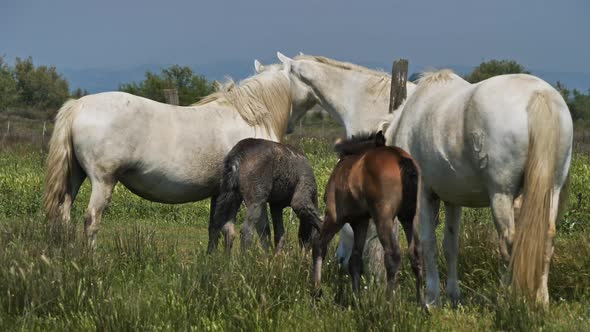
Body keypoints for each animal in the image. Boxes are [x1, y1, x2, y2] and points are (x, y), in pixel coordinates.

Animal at [45, 64, 320, 246]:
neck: (250, 117)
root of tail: (78, 105)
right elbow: (254, 232)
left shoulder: (219, 193)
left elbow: (217, 228)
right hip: (103, 181)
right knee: (91, 220)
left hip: (75, 177)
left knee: (64, 213)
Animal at [314, 130, 426, 306]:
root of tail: (401, 159)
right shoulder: (361, 221)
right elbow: (355, 260)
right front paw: (356, 299)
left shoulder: (334, 216)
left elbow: (319, 246)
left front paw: (316, 292)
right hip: (410, 217)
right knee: (416, 252)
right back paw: (422, 304)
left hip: (383, 218)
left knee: (393, 255)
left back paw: (388, 303)